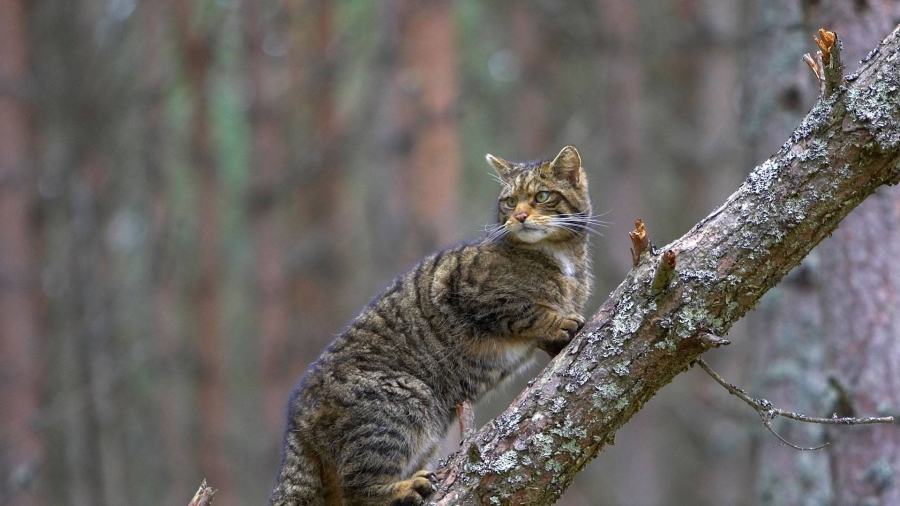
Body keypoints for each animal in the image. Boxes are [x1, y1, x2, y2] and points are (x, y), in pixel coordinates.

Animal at [270, 145, 596, 506]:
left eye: (542, 196)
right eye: (510, 202)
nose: (520, 216)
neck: (563, 258)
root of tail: (295, 421)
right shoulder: (470, 290)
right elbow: (528, 311)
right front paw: (559, 321)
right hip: (404, 402)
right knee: (359, 489)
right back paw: (407, 488)